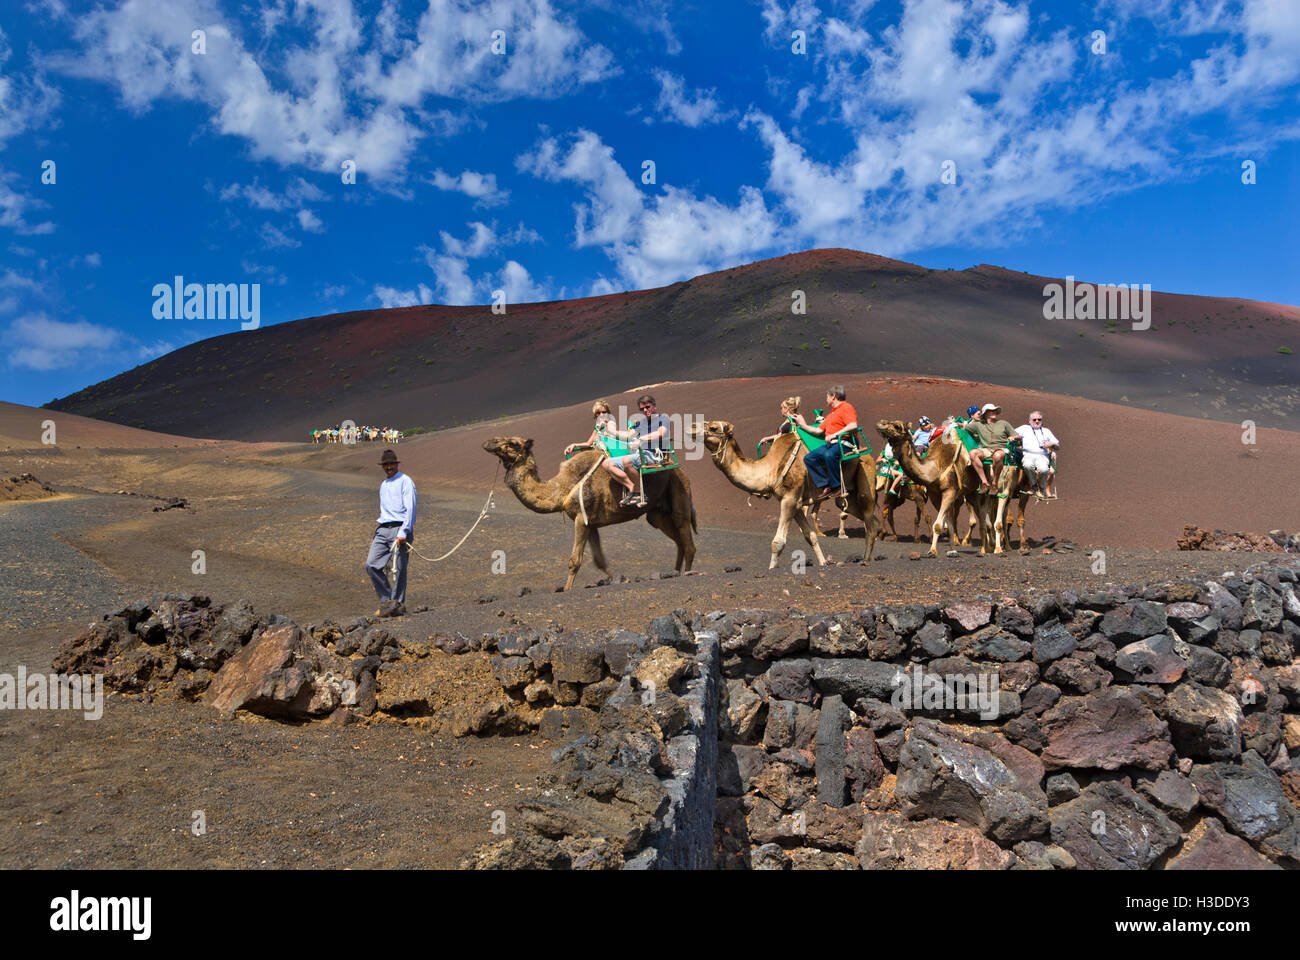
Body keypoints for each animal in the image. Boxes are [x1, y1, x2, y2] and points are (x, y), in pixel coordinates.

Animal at [483, 436, 696, 591]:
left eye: (512, 442)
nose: (488, 442)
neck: (561, 489)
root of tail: (681, 471)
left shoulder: (581, 518)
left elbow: (574, 560)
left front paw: (567, 590)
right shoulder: (591, 523)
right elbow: (599, 560)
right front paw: (620, 579)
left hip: (679, 490)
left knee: (687, 538)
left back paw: (687, 573)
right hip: (657, 512)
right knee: (678, 540)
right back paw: (675, 572)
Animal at [687, 421, 881, 568]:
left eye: (713, 427)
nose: (692, 426)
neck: (770, 469)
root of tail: (867, 453)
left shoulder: (789, 499)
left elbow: (778, 542)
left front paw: (772, 569)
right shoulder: (795, 503)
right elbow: (810, 536)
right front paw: (823, 563)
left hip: (865, 478)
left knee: (870, 523)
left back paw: (865, 561)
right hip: (847, 496)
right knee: (868, 518)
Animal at [876, 419, 1001, 556]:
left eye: (897, 426)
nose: (880, 424)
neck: (935, 468)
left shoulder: (949, 491)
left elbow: (938, 524)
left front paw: (932, 551)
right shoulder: (934, 494)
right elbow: (948, 524)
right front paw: (952, 549)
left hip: (981, 492)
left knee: (984, 521)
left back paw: (984, 550)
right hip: (968, 493)